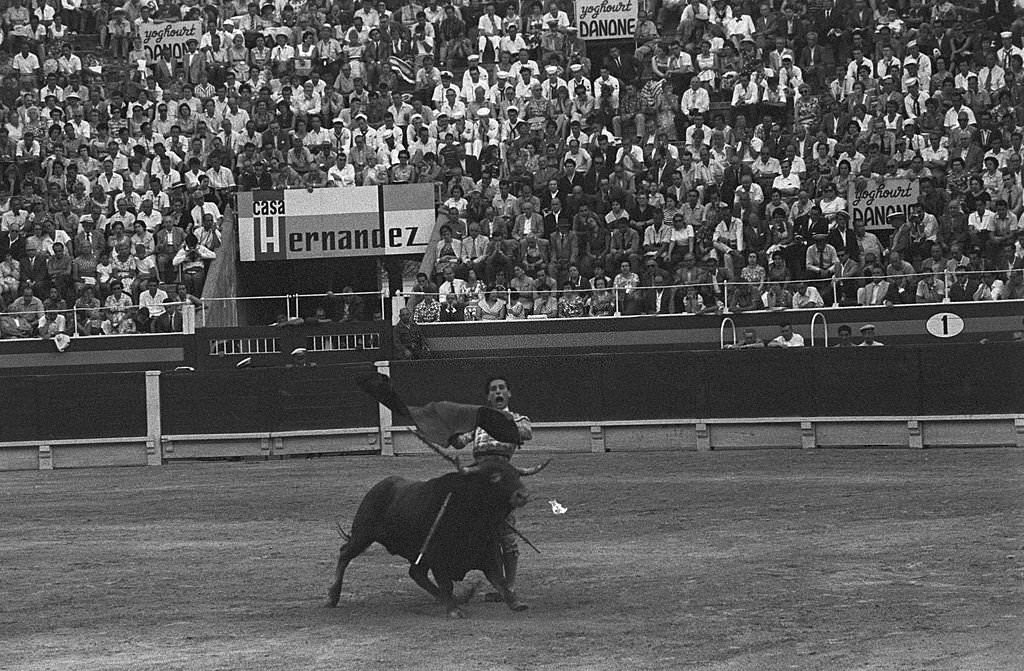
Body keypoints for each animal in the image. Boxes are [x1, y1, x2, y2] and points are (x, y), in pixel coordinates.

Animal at [323, 456, 548, 618]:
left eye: (517, 475)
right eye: (495, 477)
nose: (523, 495)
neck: (473, 514)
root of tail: (381, 485)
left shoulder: (488, 552)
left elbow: (499, 580)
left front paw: (516, 602)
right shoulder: (437, 557)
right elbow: (446, 583)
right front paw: (454, 610)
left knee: (416, 573)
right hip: (363, 534)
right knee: (345, 554)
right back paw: (332, 597)